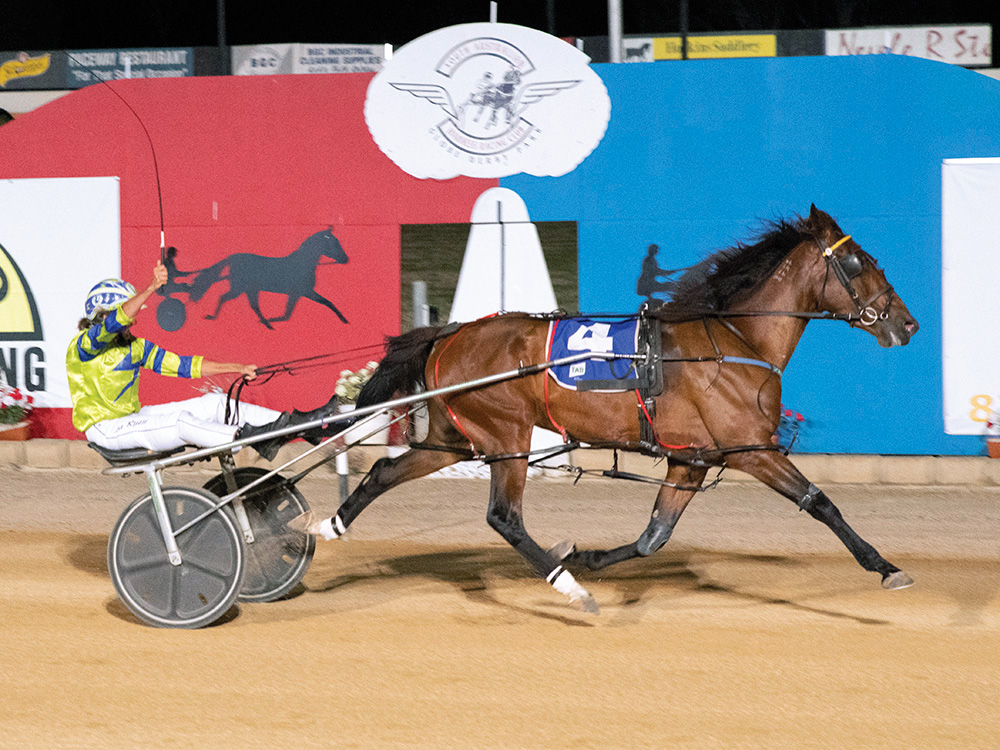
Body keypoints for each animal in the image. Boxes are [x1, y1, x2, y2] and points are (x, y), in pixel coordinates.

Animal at [188, 229, 349, 329]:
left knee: (252, 305)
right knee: (225, 298)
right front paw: (344, 320)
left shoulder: (301, 293)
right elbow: (288, 314)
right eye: (333, 243)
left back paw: (266, 323)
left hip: (249, 289)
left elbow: (290, 313)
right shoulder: (303, 292)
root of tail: (234, 257)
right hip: (239, 288)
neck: (303, 263)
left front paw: (344, 320)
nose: (345, 259)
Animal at [293, 205, 919, 614]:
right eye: (860, 262)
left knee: (384, 471)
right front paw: (886, 568)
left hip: (454, 436)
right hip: (507, 437)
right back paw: (567, 586)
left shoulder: (691, 460)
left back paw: (325, 524)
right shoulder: (752, 450)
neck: (734, 341)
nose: (907, 323)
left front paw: (589, 554)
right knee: (503, 517)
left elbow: (653, 537)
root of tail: (451, 331)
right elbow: (819, 502)